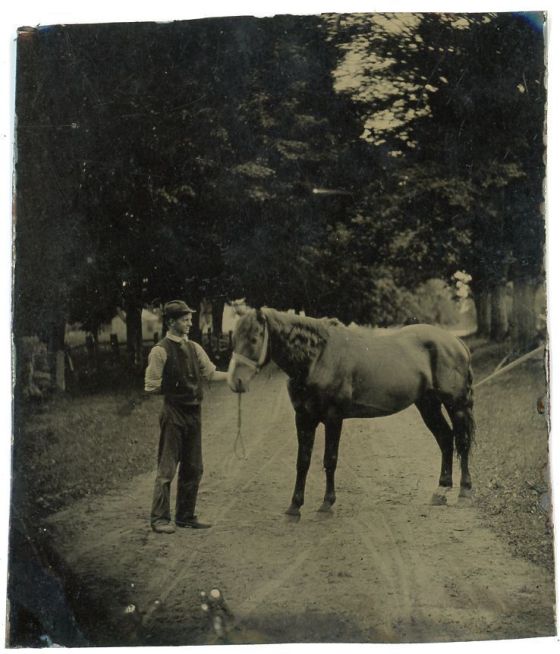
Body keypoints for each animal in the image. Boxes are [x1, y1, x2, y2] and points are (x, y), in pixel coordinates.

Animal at [227, 307, 475, 516]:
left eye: (254, 339)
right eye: (235, 338)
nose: (236, 381)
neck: (318, 358)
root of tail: (455, 342)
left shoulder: (333, 418)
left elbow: (330, 460)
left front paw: (327, 503)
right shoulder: (303, 418)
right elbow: (303, 461)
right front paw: (294, 507)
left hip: (456, 405)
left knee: (461, 443)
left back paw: (464, 491)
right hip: (428, 405)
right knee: (445, 439)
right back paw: (441, 491)